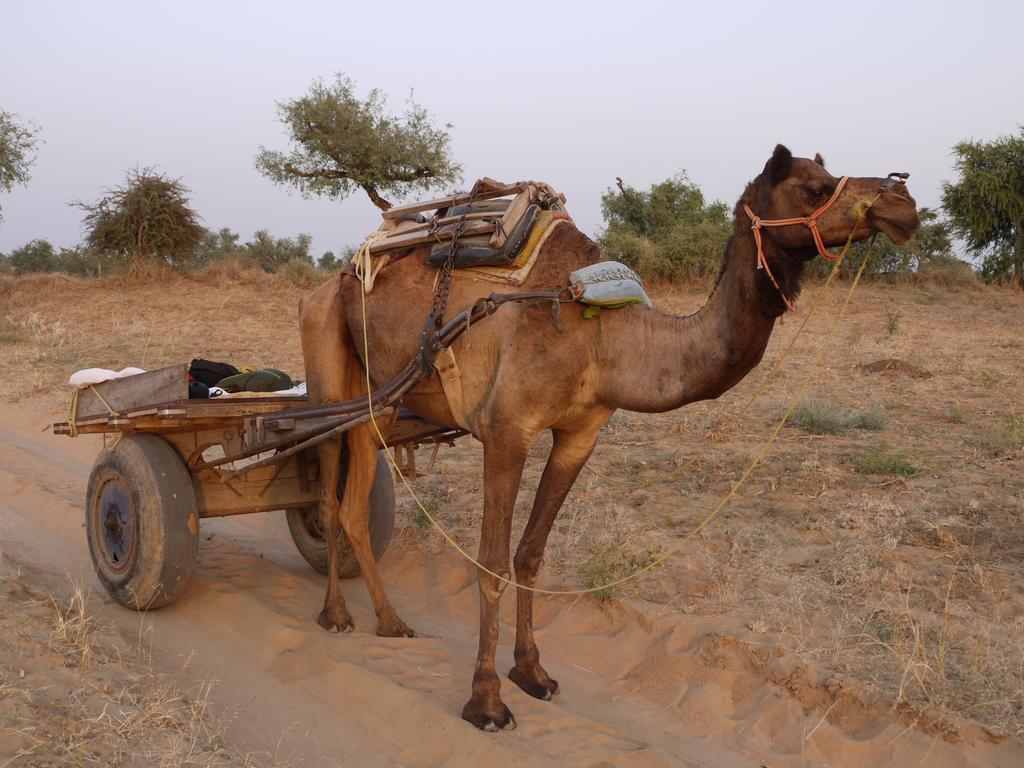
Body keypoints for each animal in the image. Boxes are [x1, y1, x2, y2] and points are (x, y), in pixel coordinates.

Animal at [296, 145, 921, 733]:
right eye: (815, 186)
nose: (903, 201)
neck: (604, 333)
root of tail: (336, 277)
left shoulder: (581, 433)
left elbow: (529, 554)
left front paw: (533, 672)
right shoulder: (506, 429)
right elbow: (491, 560)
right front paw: (486, 702)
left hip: (379, 403)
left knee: (355, 495)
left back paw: (391, 622)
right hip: (325, 357)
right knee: (324, 489)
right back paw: (336, 615)